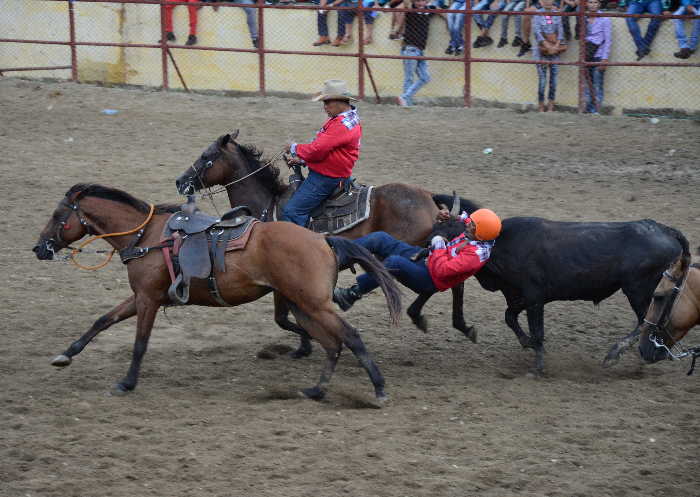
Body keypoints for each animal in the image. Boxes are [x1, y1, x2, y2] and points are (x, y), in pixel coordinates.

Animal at [32, 184, 402, 402]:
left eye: (57, 215)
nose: (39, 248)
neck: (145, 237)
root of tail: (323, 240)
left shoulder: (148, 299)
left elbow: (139, 344)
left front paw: (127, 382)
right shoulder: (141, 296)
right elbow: (103, 320)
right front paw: (66, 354)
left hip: (314, 304)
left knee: (349, 337)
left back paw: (380, 387)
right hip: (303, 305)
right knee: (332, 344)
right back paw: (316, 389)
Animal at [175, 130, 482, 350]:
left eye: (206, 156)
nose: (180, 182)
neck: (269, 203)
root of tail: (428, 196)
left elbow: (283, 318)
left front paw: (306, 344)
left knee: (435, 279)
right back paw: (459, 325)